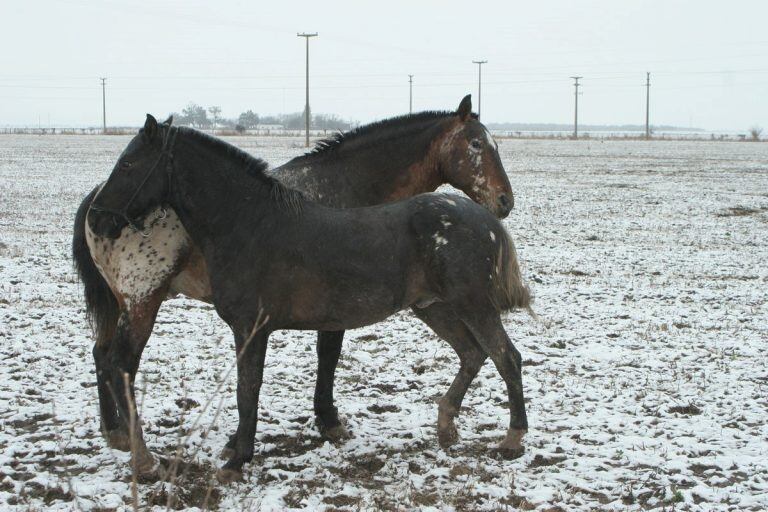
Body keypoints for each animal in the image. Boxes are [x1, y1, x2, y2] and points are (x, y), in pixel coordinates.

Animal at [87, 115, 536, 480]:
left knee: (505, 356)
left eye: (128, 164)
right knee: (474, 354)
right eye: (476, 144)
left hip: (471, 305)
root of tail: (486, 221)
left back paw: (512, 439)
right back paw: (446, 427)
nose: (100, 218)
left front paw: (238, 460)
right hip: (435, 308)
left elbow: (249, 389)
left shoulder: (253, 329)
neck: (250, 223)